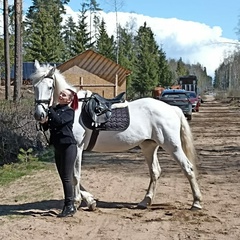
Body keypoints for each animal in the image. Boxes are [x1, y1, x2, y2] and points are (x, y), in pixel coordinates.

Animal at [31, 60, 202, 210]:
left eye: (50, 87)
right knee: (155, 171)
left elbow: (75, 175)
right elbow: (71, 175)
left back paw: (196, 203)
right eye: (34, 86)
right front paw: (90, 201)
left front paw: (77, 202)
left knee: (188, 168)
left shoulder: (77, 147)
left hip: (172, 146)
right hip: (149, 146)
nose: (39, 114)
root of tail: (172, 109)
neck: (72, 109)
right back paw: (145, 201)